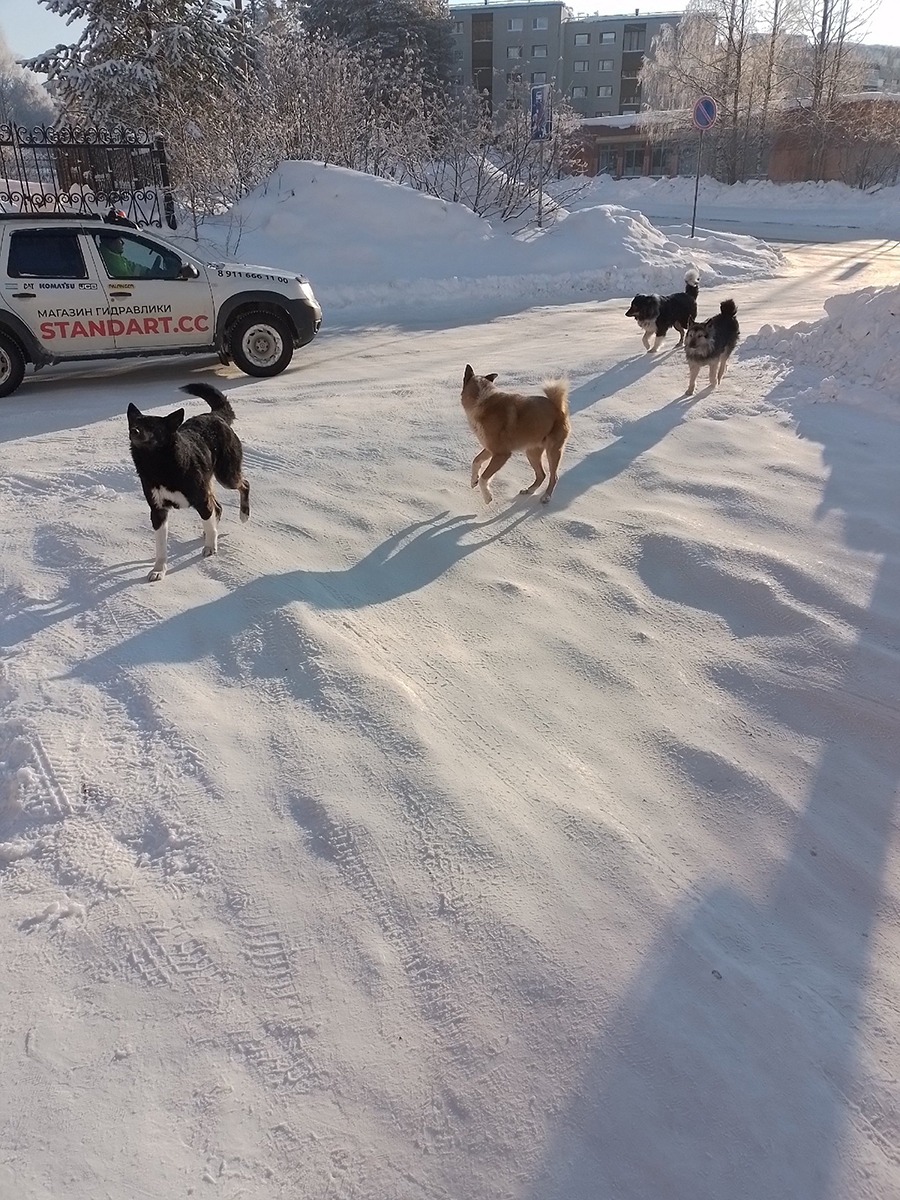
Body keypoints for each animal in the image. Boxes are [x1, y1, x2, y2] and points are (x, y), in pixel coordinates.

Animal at [127, 376, 250, 578]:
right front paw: (159, 569)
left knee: (244, 484)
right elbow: (160, 546)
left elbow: (208, 521)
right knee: (218, 507)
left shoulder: (201, 499)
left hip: (226, 475)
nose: (134, 432)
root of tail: (215, 416)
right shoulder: (158, 511)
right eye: (134, 424)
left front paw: (210, 547)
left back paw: (243, 514)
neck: (159, 466)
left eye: (152, 427)